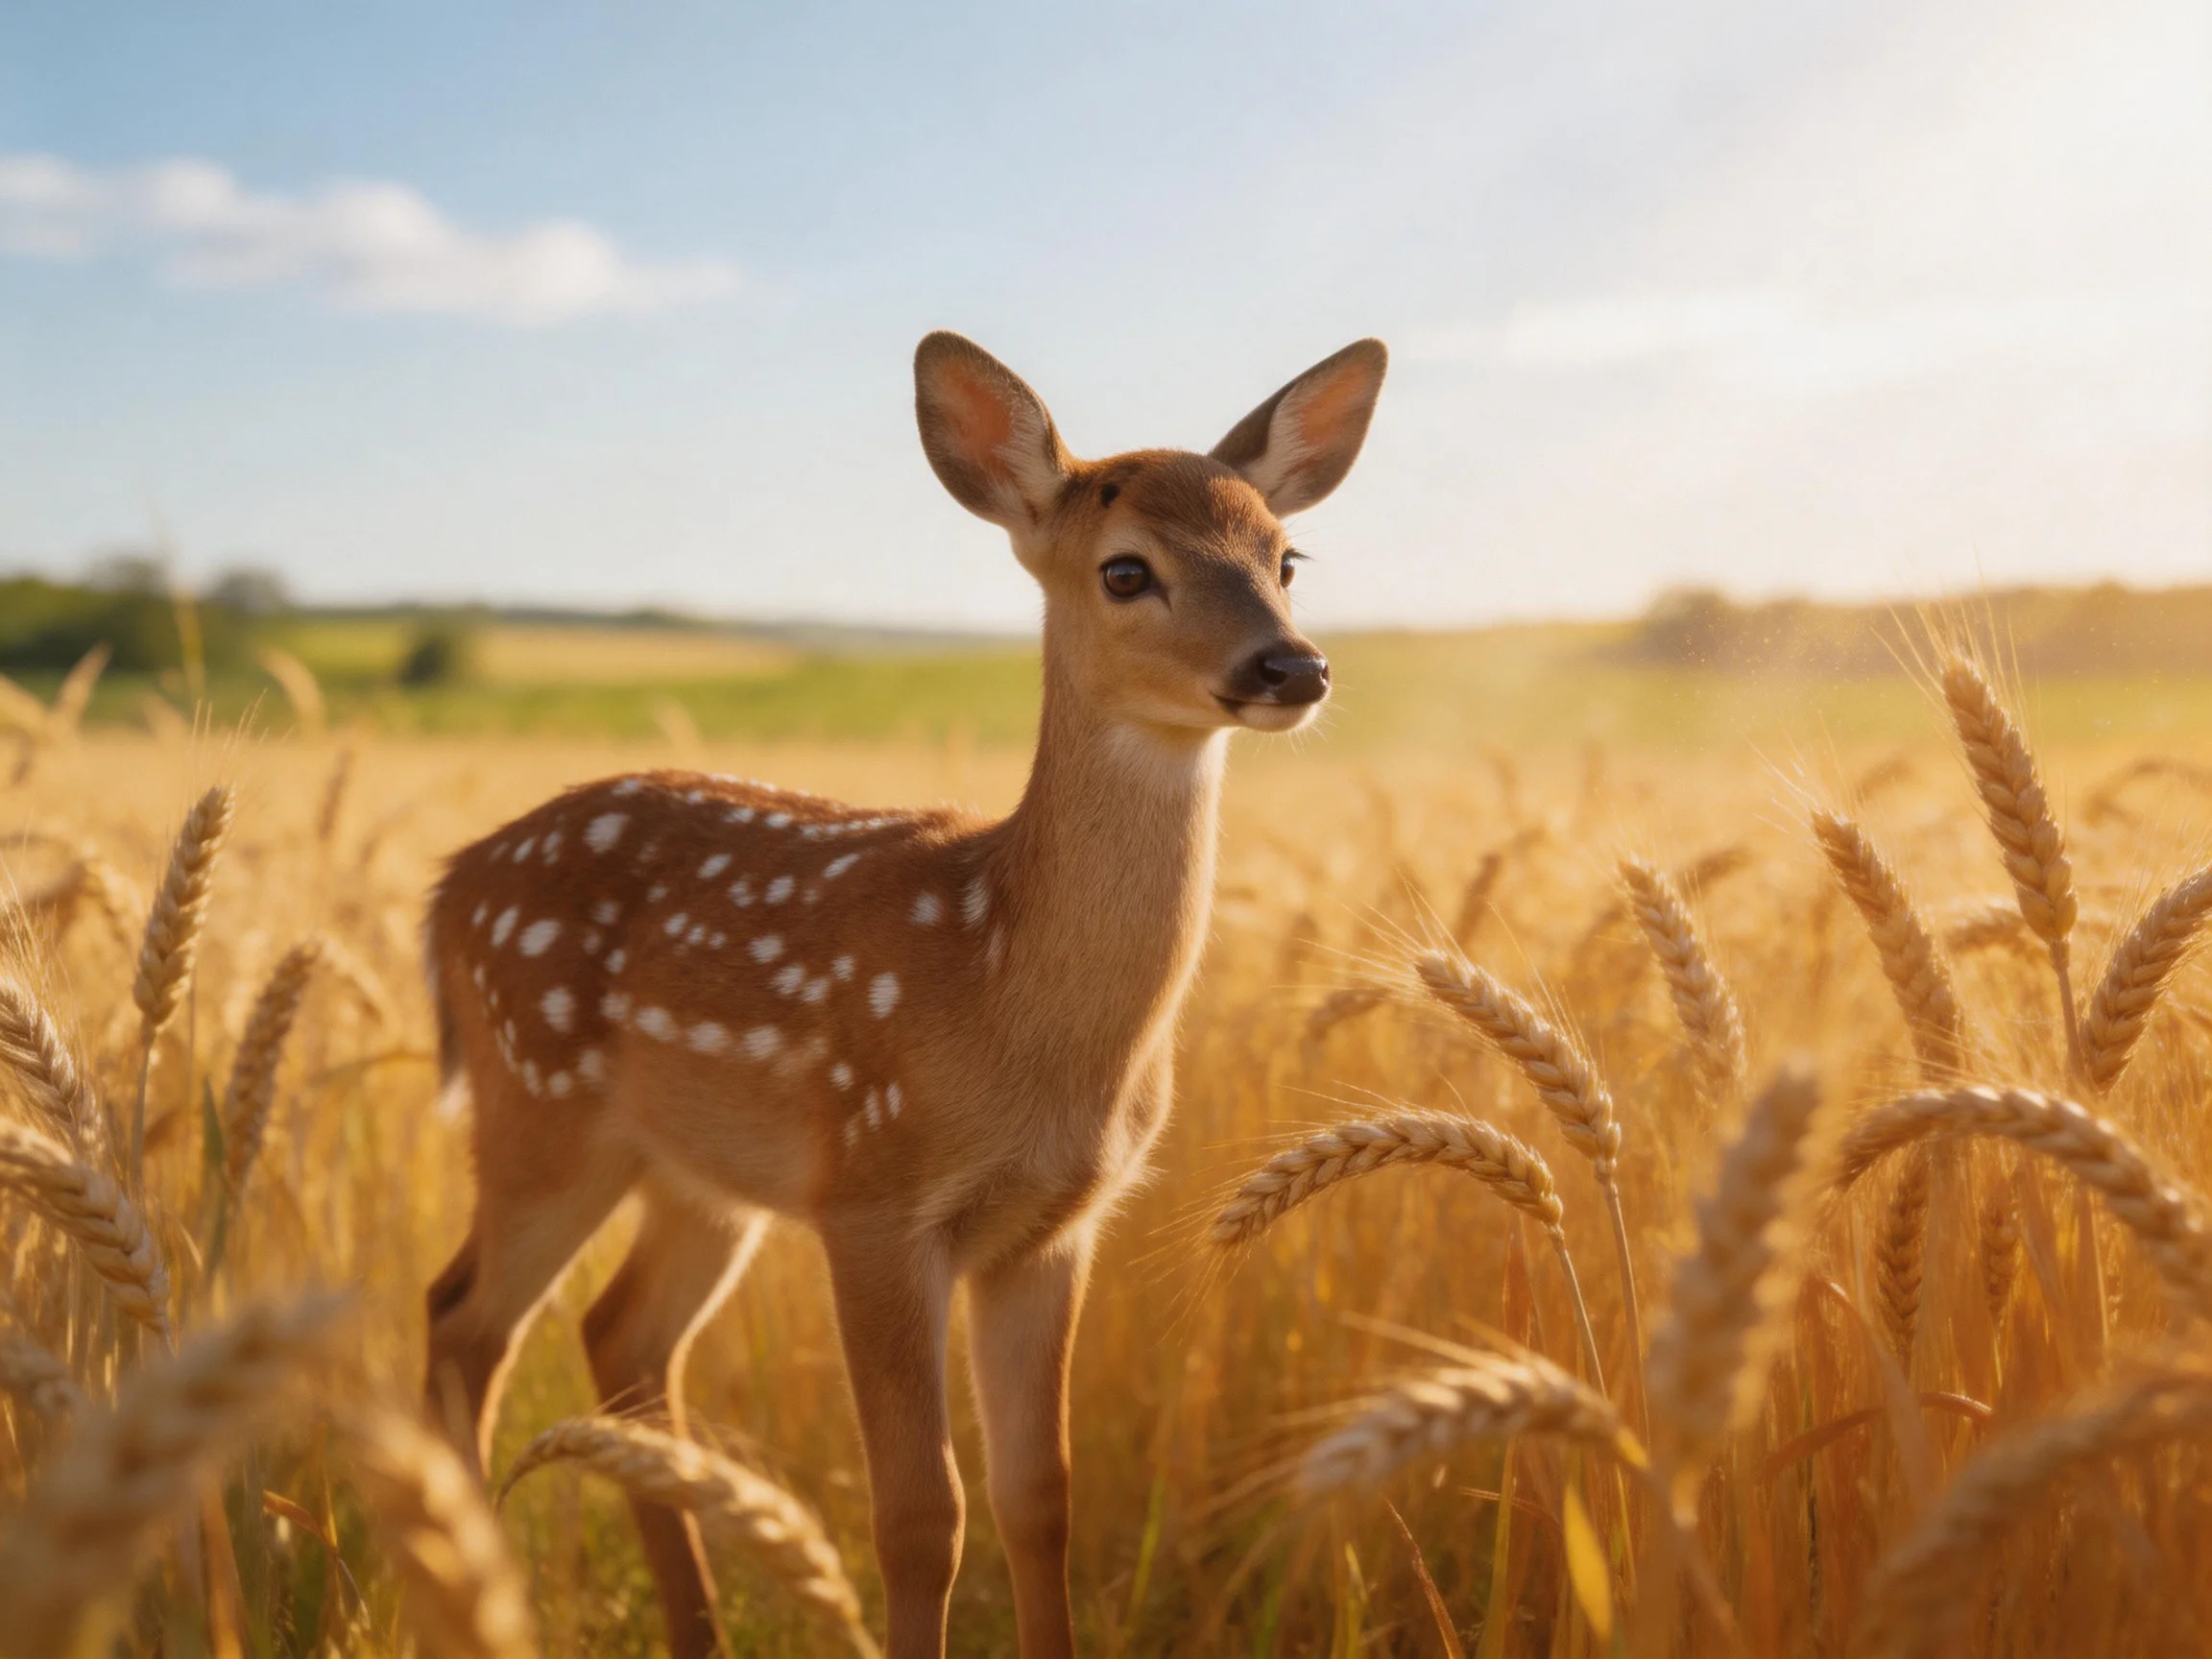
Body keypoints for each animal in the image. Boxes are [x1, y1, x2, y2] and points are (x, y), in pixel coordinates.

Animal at [419, 330, 1388, 1658]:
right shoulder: (874, 1199)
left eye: (1286, 558)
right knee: (462, 1321)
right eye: (1126, 570)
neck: (1002, 988)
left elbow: (1041, 1498)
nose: (1292, 665)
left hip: (694, 1172)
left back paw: (689, 1628)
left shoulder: (1052, 1226)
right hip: (541, 1114)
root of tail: (447, 888)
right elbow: (922, 1515)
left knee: (619, 1336)